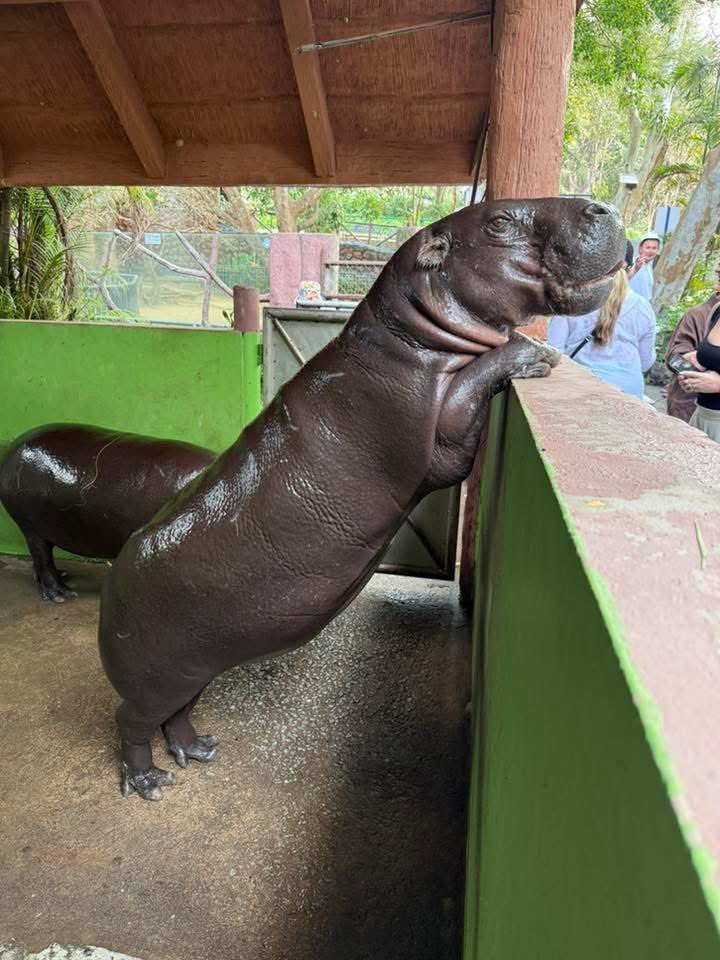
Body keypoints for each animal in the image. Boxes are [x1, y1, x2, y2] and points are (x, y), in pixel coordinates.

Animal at [0, 425, 214, 601]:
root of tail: (13, 446)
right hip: (28, 525)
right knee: (42, 556)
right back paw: (62, 595)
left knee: (42, 555)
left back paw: (61, 575)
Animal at [99, 197, 626, 799]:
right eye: (496, 222)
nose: (602, 206)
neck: (411, 333)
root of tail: (112, 584)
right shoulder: (439, 437)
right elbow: (475, 380)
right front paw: (534, 351)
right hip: (153, 678)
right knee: (130, 721)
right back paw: (148, 782)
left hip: (193, 670)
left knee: (178, 714)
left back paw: (197, 751)